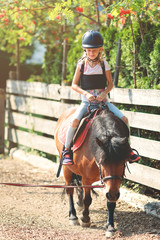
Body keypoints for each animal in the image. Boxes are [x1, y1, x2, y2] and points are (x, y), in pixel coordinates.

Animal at [54, 106, 131, 236]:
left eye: (122, 162)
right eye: (102, 162)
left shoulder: (114, 183)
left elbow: (111, 202)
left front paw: (110, 227)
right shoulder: (87, 179)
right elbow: (88, 200)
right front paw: (85, 219)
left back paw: (79, 204)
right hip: (66, 168)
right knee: (69, 189)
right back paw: (73, 216)